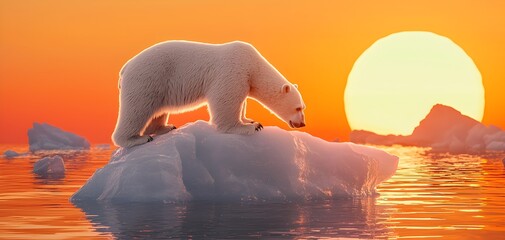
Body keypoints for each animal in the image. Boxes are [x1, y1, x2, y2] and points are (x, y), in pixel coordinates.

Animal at [111, 40, 306, 147]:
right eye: (298, 108)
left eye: (303, 107)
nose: (302, 123)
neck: (253, 65)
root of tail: (125, 67)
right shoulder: (233, 69)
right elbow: (225, 100)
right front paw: (250, 127)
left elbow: (242, 102)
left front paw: (249, 119)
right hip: (147, 78)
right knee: (137, 109)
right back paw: (138, 139)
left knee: (158, 111)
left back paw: (166, 127)